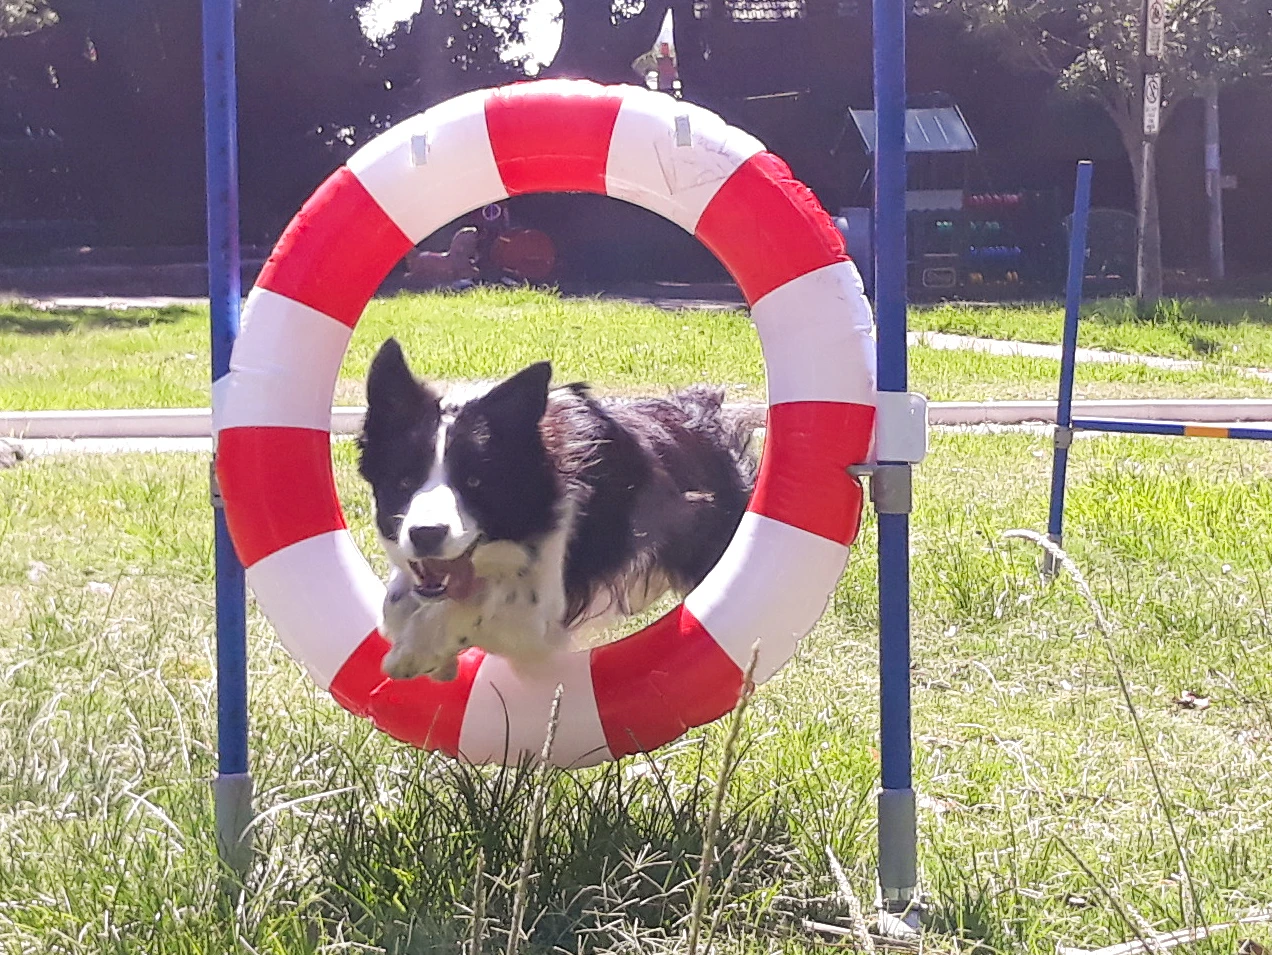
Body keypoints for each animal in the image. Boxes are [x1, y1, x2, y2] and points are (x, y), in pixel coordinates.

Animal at [356, 340, 753, 681]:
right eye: (404, 481)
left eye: (474, 482)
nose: (426, 534)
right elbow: (395, 605)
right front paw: (433, 656)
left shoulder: (540, 617)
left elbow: (479, 601)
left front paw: (412, 654)